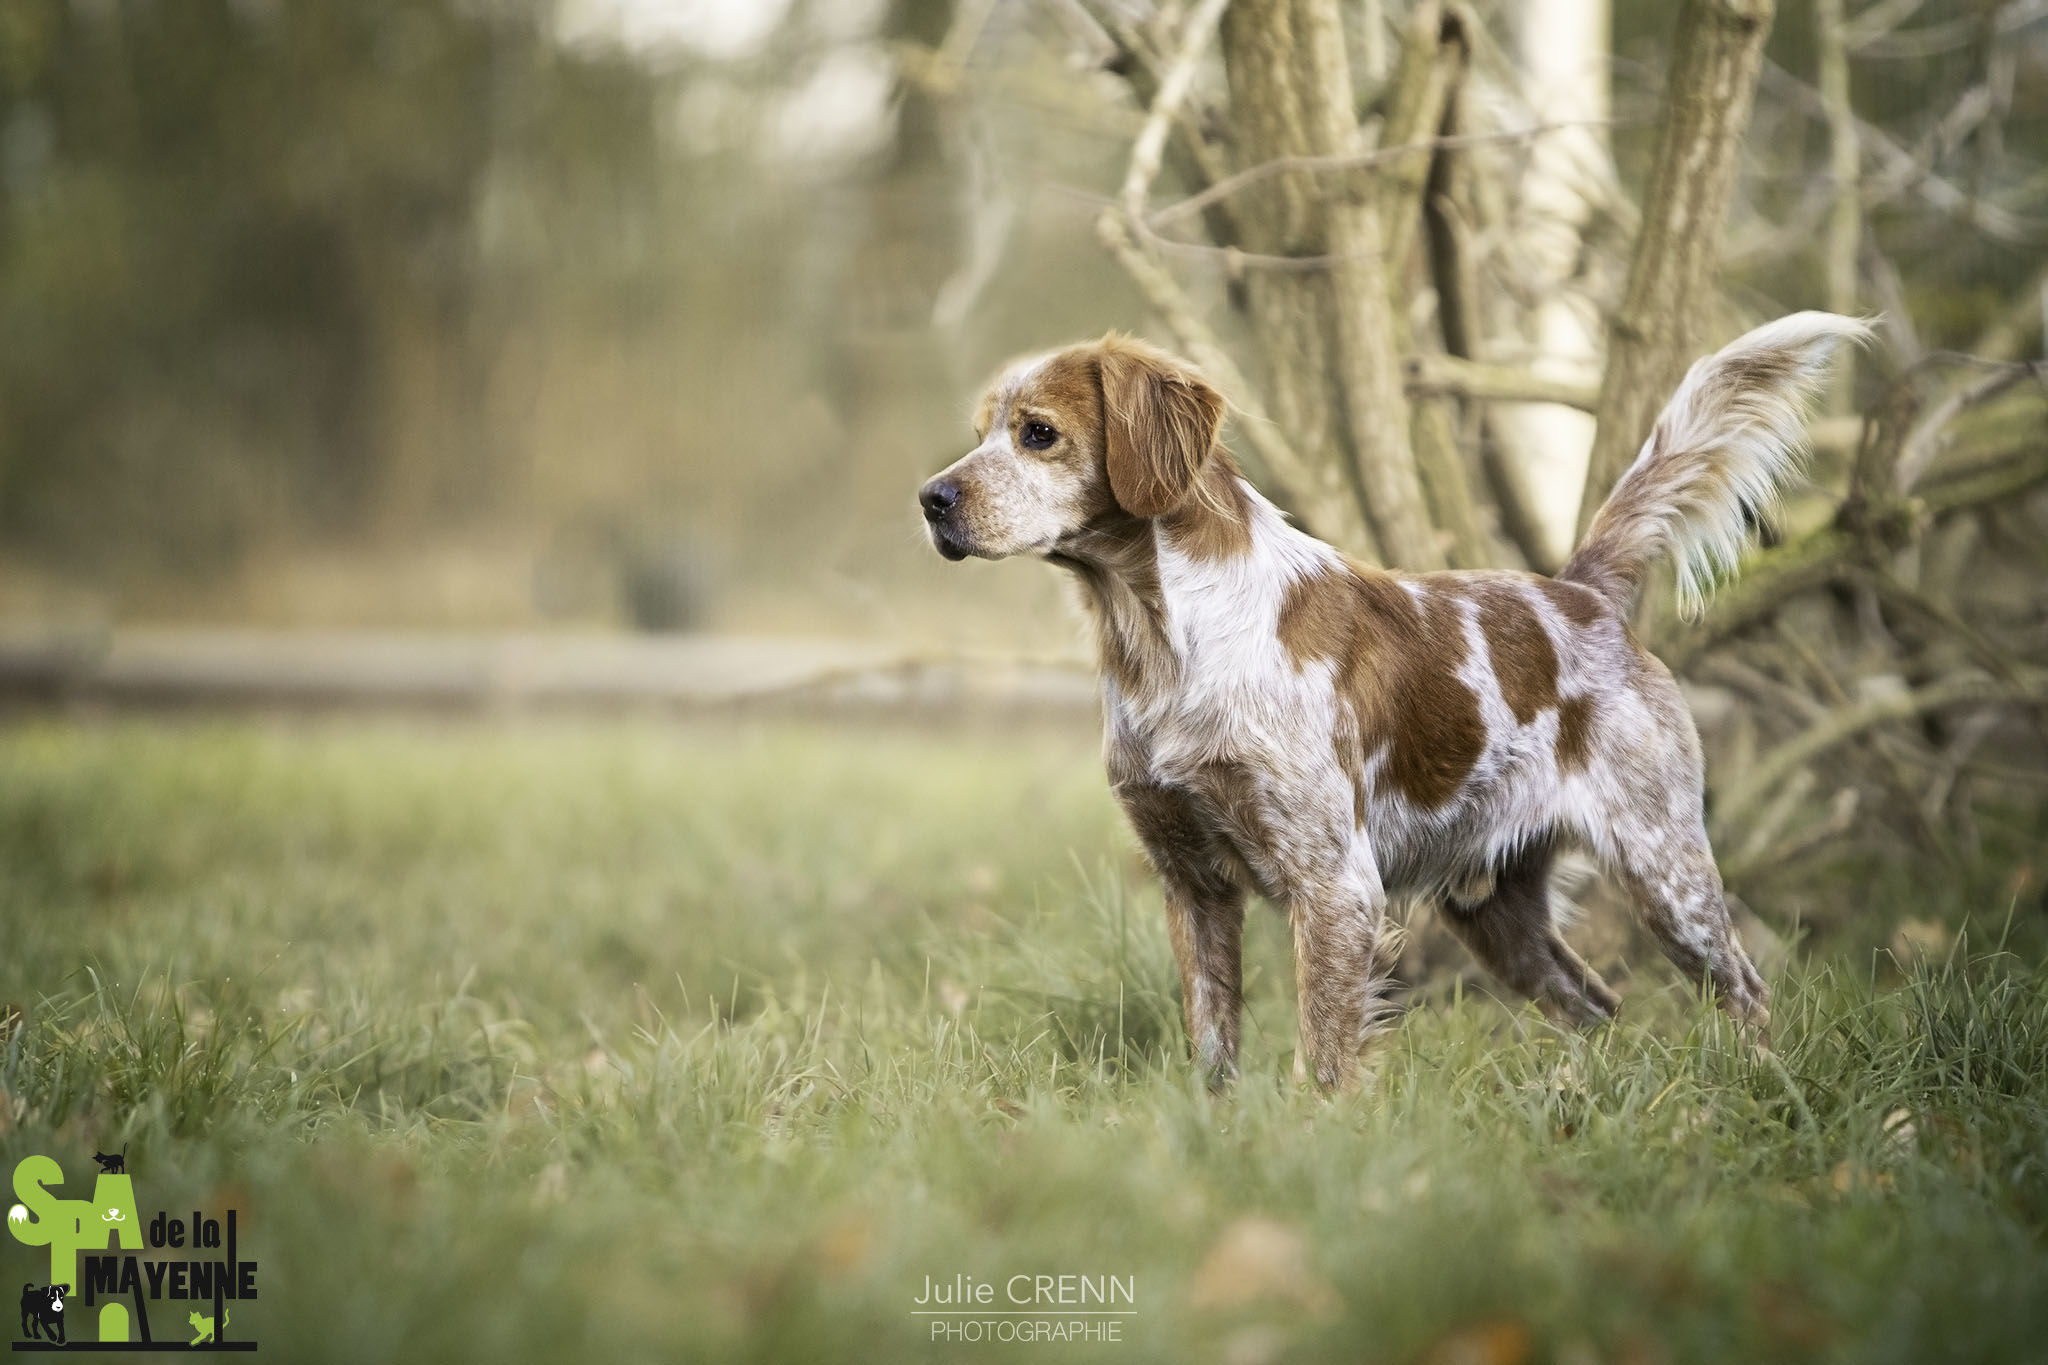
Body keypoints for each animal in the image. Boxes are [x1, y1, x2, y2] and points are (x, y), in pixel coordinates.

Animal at [925, 315, 1875, 1096]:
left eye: (1038, 433)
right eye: (978, 435)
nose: (932, 499)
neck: (1162, 641)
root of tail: (1581, 592)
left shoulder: (1335, 884)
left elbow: (1323, 1056)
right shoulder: (1191, 881)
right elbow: (1214, 1046)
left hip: (1665, 868)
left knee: (1746, 991)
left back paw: (1762, 1086)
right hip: (1497, 911)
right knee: (1596, 1003)